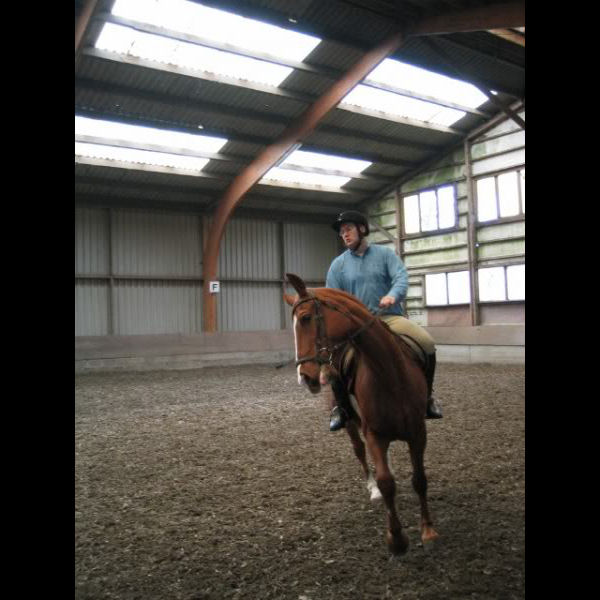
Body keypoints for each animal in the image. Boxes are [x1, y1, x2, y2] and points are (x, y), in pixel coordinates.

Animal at [283, 272, 439, 555]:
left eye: (306, 318)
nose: (306, 377)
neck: (389, 374)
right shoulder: (374, 434)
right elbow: (387, 482)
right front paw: (396, 539)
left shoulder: (417, 433)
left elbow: (420, 479)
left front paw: (428, 531)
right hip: (351, 423)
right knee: (360, 451)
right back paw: (372, 488)